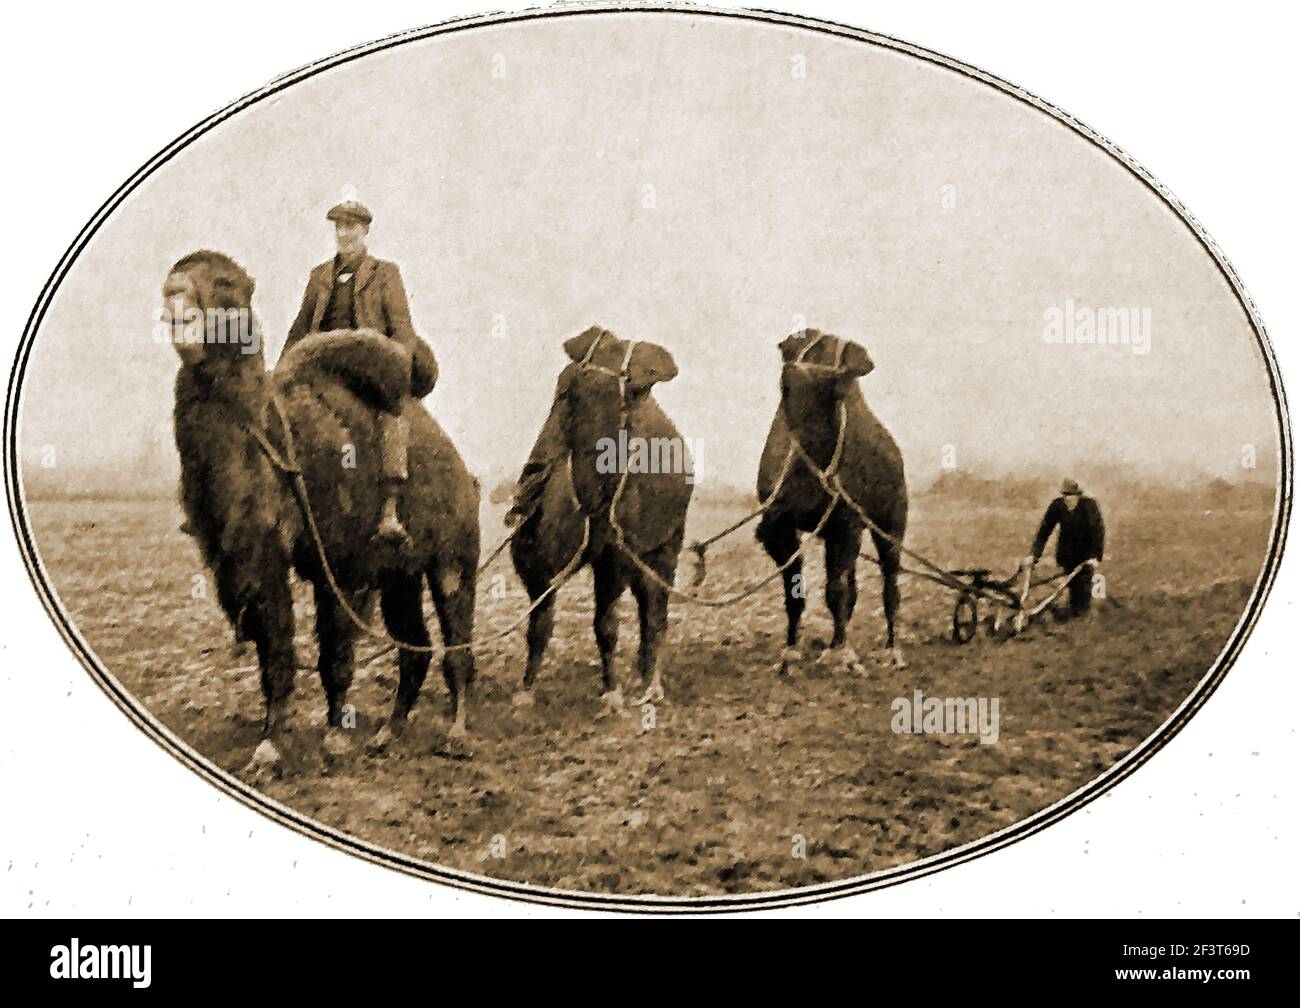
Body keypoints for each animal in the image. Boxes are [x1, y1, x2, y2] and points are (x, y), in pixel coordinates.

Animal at [165, 252, 480, 775]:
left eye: (226, 282)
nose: (174, 293)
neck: (278, 445)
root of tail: (466, 472)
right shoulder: (258, 562)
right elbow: (275, 651)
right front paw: (269, 746)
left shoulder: (342, 563)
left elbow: (334, 653)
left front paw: (333, 738)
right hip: (400, 574)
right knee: (414, 646)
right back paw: (388, 734)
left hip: (453, 555)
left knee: (457, 640)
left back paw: (457, 734)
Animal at [506, 327, 696, 712]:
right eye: (563, 390)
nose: (531, 477)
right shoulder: (543, 565)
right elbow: (539, 623)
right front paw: (527, 688)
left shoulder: (616, 556)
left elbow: (606, 624)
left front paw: (611, 692)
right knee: (644, 605)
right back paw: (641, 672)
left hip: (667, 546)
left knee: (656, 611)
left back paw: (651, 681)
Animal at [759, 331, 909, 676]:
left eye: (838, 358)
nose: (798, 374)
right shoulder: (782, 527)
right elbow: (793, 591)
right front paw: (790, 652)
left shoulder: (847, 523)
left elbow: (837, 590)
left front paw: (841, 653)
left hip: (890, 522)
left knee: (889, 583)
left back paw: (892, 650)